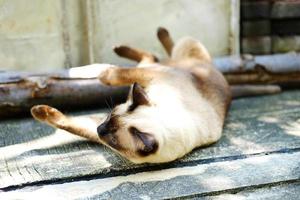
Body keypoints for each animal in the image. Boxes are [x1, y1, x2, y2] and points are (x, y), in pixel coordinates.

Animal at [30, 27, 274, 163]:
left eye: (111, 138)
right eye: (108, 116)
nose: (100, 128)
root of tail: (219, 74)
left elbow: (70, 125)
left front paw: (37, 112)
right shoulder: (152, 76)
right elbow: (118, 75)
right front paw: (39, 111)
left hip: (180, 53)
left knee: (155, 55)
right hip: (174, 59)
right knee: (155, 55)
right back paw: (131, 44)